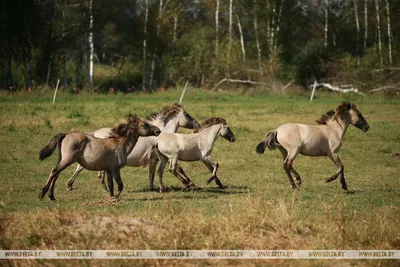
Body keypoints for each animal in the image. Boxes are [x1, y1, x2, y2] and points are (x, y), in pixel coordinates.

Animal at [65, 103, 200, 193]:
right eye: (187, 114)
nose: (197, 125)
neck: (161, 135)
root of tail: (93, 133)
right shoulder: (161, 157)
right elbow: (177, 168)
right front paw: (189, 183)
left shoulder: (155, 159)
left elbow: (152, 173)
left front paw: (152, 187)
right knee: (93, 173)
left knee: (80, 168)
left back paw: (71, 185)